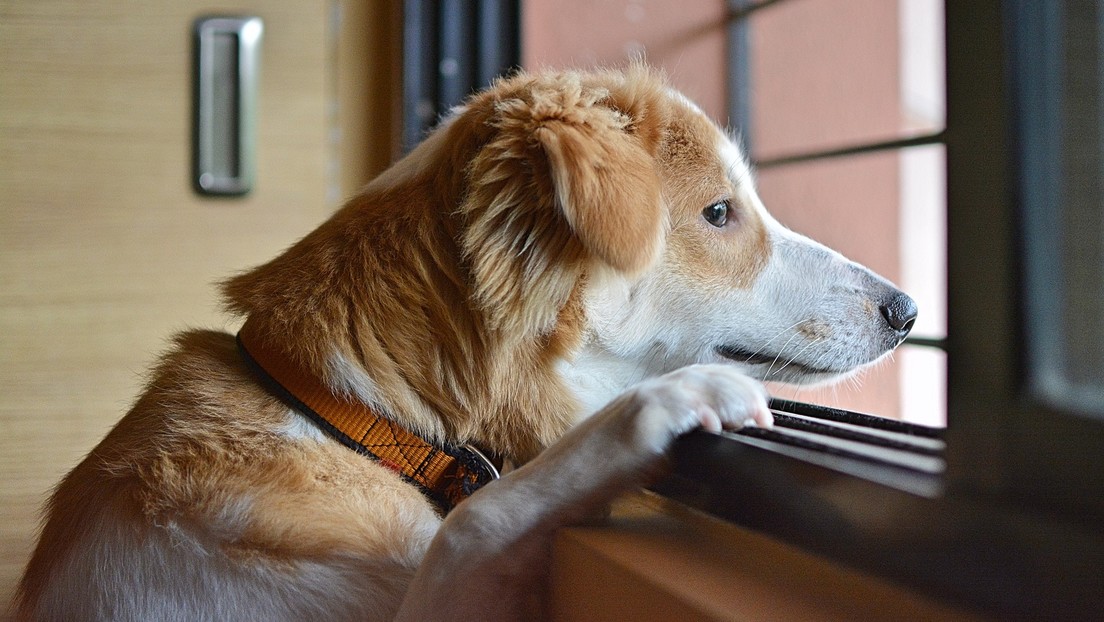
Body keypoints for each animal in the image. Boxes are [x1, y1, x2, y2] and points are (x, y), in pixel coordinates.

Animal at [17, 65, 918, 618]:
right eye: (719, 213)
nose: (906, 310)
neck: (356, 417)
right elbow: (478, 522)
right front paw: (661, 407)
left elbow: (473, 520)